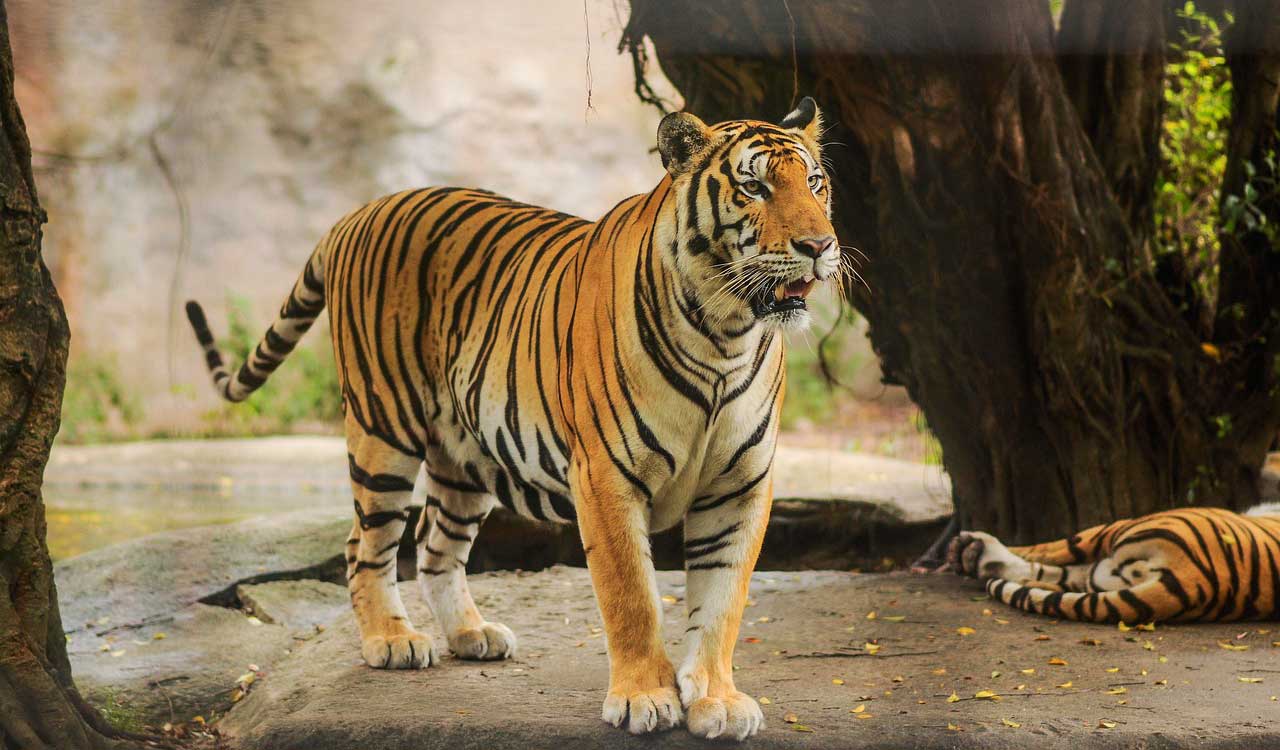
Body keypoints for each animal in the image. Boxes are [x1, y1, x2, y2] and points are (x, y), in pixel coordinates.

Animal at [184, 97, 840, 741]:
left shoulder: (740, 484)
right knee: (364, 543)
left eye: (814, 183)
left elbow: (723, 600)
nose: (819, 246)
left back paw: (470, 635)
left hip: (465, 453)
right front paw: (645, 698)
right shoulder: (606, 477)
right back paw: (392, 640)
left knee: (435, 543)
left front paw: (717, 701)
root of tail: (358, 212)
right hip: (382, 427)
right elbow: (632, 594)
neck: (726, 333)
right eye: (753, 187)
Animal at [946, 505, 1280, 623]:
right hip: (1106, 571)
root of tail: (1197, 582)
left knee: (1052, 551)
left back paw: (972, 550)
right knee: (1063, 574)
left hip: (1123, 526)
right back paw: (978, 556)